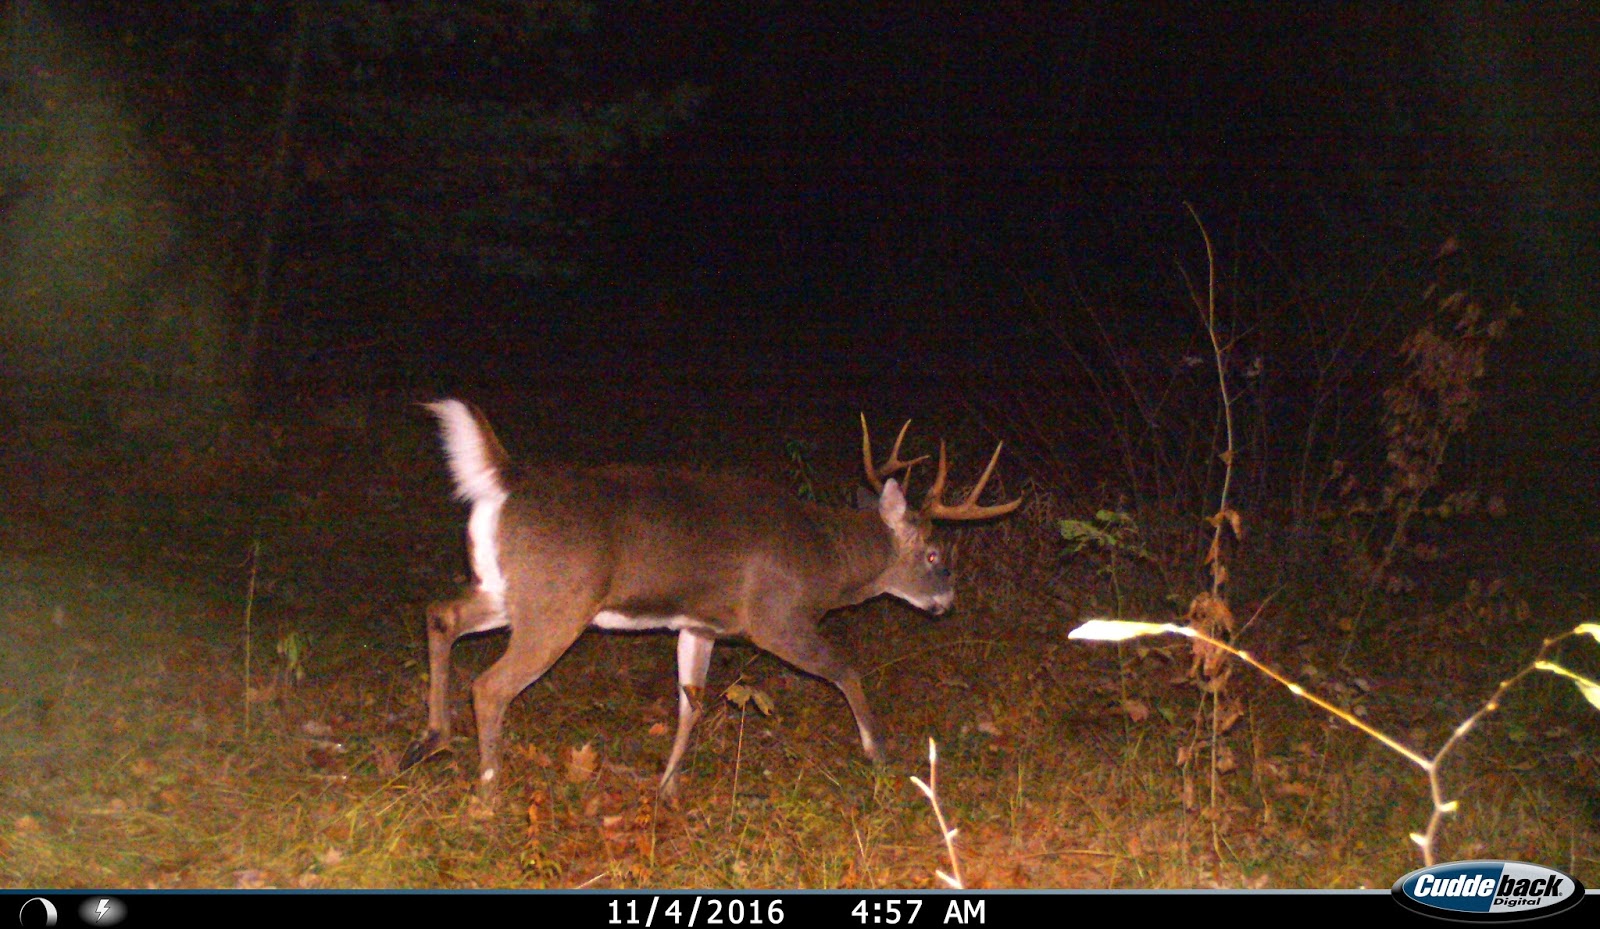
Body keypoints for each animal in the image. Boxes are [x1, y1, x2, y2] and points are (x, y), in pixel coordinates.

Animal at [399, 399, 1021, 804]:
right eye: (936, 555)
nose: (947, 604)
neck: (830, 561)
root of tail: (507, 481)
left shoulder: (699, 625)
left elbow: (690, 704)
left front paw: (667, 788)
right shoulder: (777, 618)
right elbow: (846, 668)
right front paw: (879, 753)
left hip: (510, 592)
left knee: (440, 613)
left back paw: (429, 742)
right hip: (558, 603)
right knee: (490, 686)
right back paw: (488, 793)